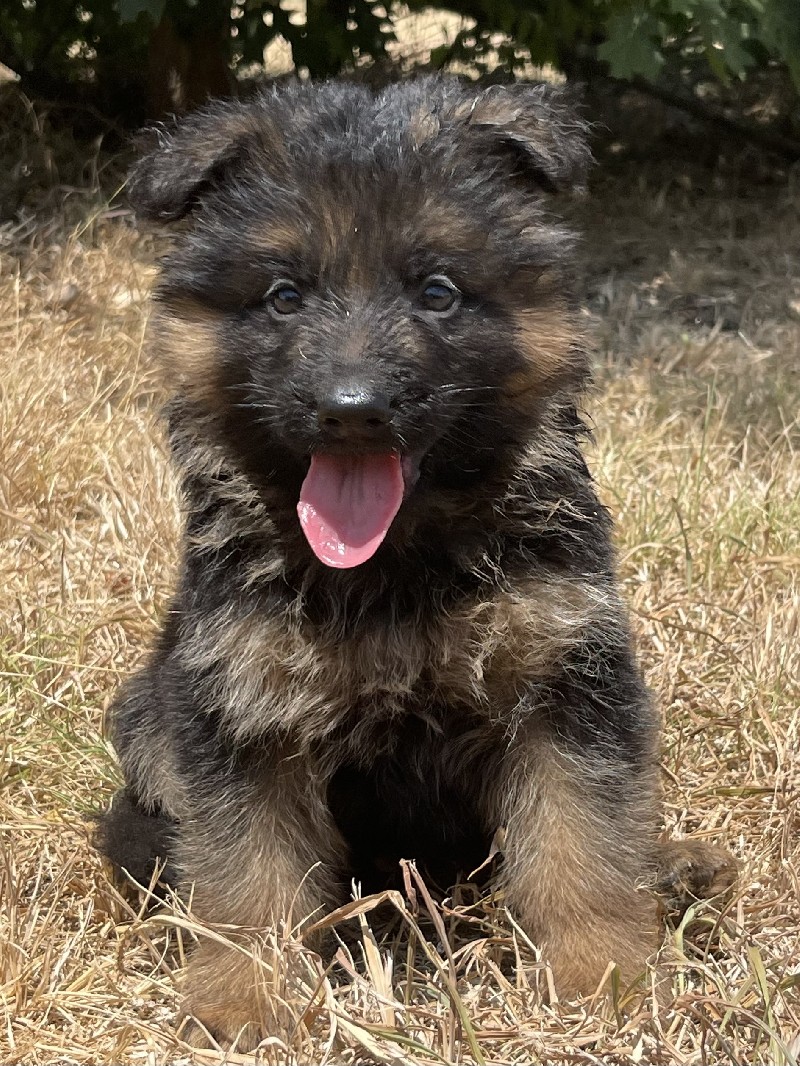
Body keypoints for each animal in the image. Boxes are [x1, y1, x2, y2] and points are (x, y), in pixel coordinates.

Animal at [97, 78, 738, 1044]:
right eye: (284, 296)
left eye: (436, 291)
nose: (352, 409)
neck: (395, 568)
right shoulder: (243, 706)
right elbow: (247, 876)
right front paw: (245, 998)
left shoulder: (566, 683)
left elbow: (583, 845)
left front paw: (605, 979)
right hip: (148, 716)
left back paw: (674, 867)